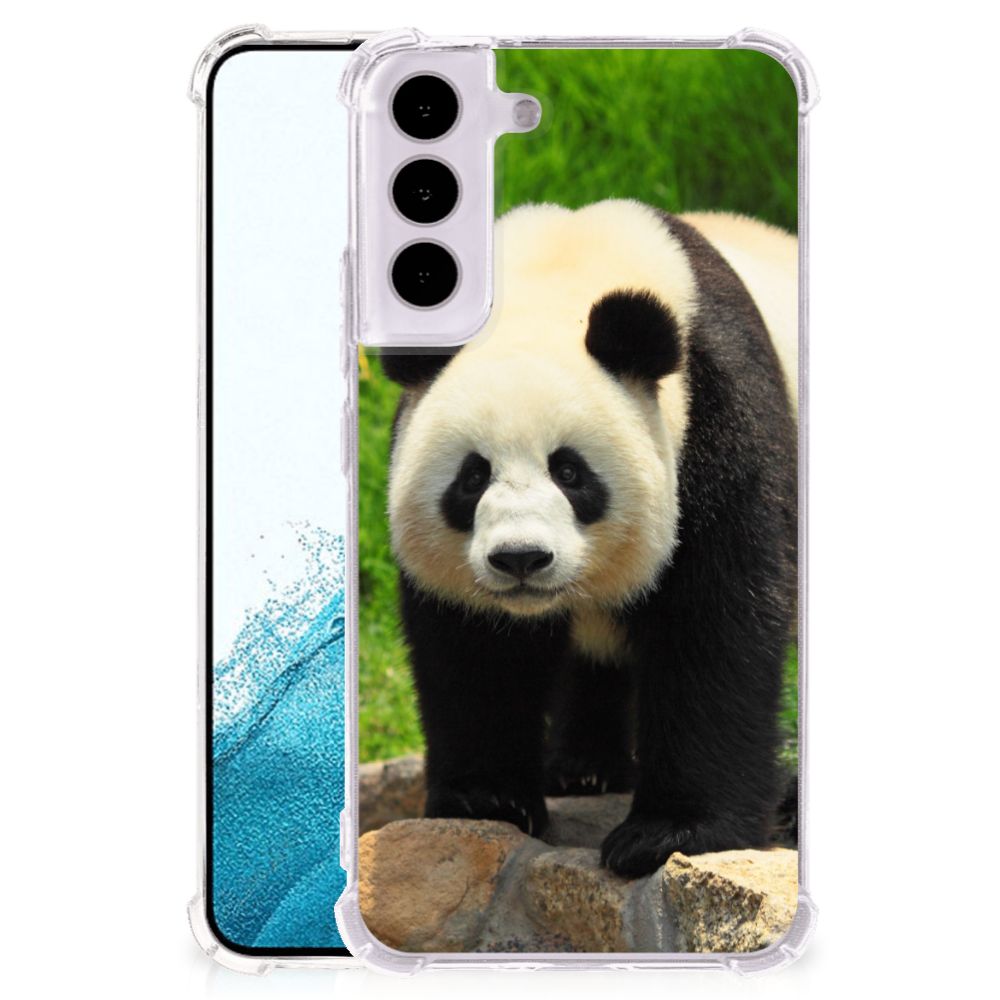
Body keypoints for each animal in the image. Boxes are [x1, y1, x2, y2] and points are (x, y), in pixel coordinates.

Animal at [379, 199, 798, 878]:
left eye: (570, 472)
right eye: (472, 476)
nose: (521, 558)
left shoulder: (720, 420)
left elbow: (716, 623)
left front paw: (670, 833)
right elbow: (475, 649)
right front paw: (486, 799)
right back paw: (583, 769)